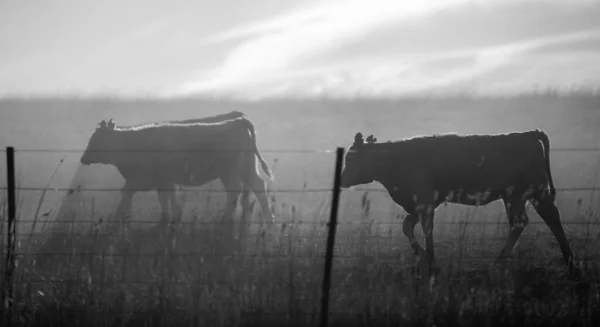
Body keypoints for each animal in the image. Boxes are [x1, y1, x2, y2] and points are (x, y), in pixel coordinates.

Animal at [79, 112, 274, 231]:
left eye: (95, 139)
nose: (83, 158)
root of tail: (237, 121)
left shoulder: (142, 179)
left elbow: (130, 195)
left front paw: (118, 218)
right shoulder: (162, 180)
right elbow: (165, 198)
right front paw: (169, 218)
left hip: (231, 171)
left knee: (237, 192)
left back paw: (228, 220)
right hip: (246, 167)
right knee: (256, 188)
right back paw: (268, 219)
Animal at [340, 129, 576, 276]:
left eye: (350, 158)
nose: (341, 179)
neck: (394, 160)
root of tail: (528, 134)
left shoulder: (425, 202)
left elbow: (426, 229)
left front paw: (430, 259)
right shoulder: (422, 204)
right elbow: (407, 226)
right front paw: (423, 256)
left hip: (528, 193)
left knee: (535, 221)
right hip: (521, 196)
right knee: (537, 220)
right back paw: (568, 261)